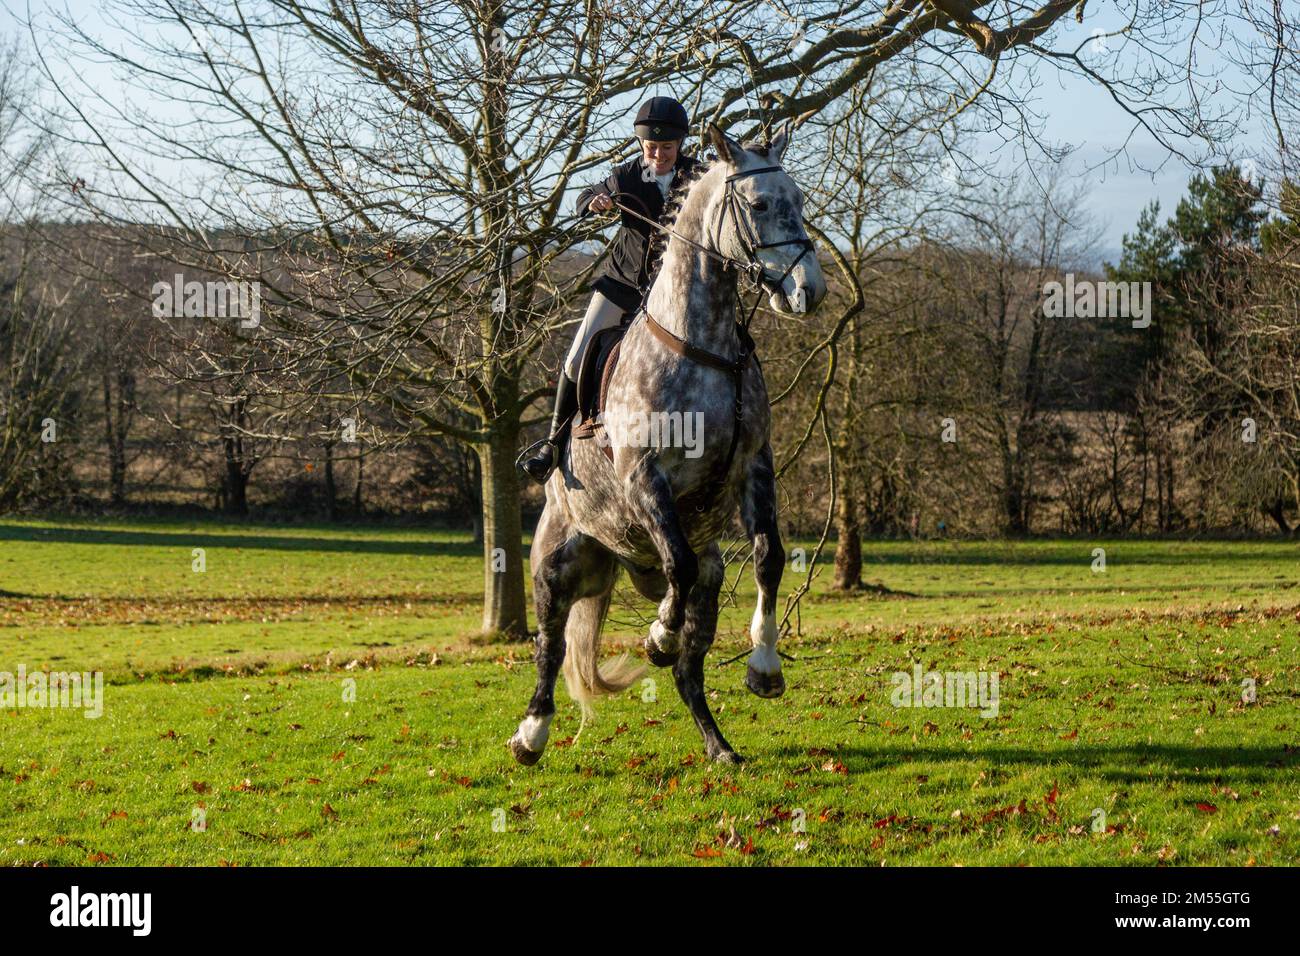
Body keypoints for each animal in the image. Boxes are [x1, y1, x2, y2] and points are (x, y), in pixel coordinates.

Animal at [509, 123, 826, 764]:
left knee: (689, 664)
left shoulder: (755, 465)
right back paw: (531, 735)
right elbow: (676, 559)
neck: (703, 347)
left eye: (799, 201)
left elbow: (769, 556)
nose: (810, 291)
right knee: (551, 647)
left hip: (703, 577)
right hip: (556, 561)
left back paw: (718, 745)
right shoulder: (644, 475)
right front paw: (656, 636)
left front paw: (764, 669)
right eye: (758, 206)